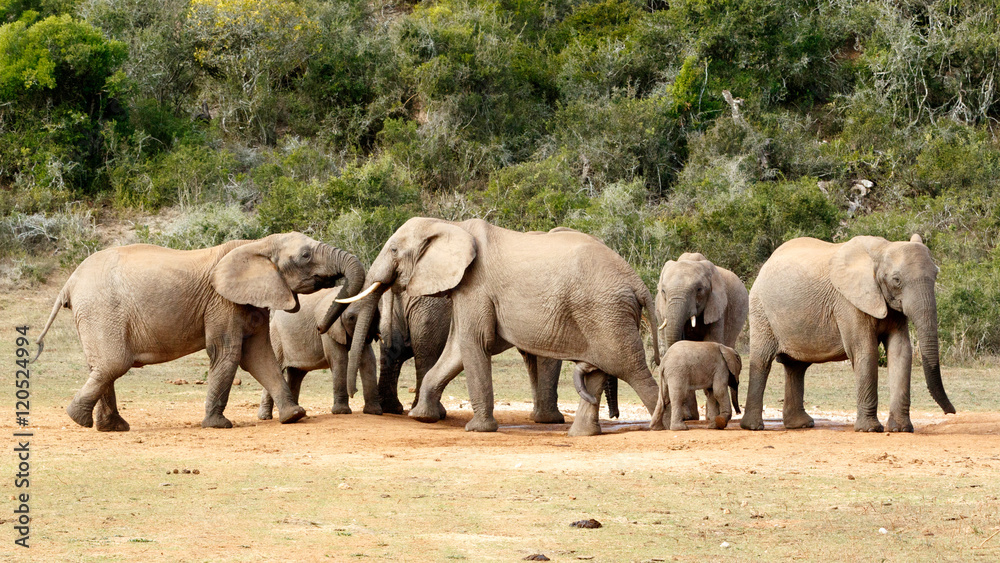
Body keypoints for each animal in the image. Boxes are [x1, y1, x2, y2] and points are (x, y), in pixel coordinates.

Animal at [34, 233, 365, 431]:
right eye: (306, 256)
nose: (320, 326)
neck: (258, 244)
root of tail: (69, 282)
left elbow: (260, 357)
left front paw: (295, 416)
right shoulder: (222, 302)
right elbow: (229, 354)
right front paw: (218, 425)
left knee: (102, 366)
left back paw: (112, 427)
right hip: (101, 309)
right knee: (114, 363)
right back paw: (79, 419)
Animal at [258, 288, 380, 420]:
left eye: (376, 317)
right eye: (351, 318)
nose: (355, 391)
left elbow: (368, 359)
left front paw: (374, 412)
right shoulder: (328, 326)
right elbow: (339, 359)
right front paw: (341, 412)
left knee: (296, 374)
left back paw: (299, 414)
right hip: (275, 337)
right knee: (275, 368)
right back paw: (266, 417)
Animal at [376, 291, 566, 423]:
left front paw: (539, 417)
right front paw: (553, 421)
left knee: (394, 352)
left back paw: (392, 409)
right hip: (431, 311)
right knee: (428, 353)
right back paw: (434, 414)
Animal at [655, 252, 748, 421]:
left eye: (699, 289)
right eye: (663, 291)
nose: (739, 412)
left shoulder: (717, 306)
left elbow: (712, 342)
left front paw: (712, 417)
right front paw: (688, 417)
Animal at [741, 234, 956, 432]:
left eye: (936, 275)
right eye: (897, 280)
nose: (951, 412)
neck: (881, 250)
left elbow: (901, 352)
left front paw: (900, 429)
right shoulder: (848, 302)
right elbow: (866, 351)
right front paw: (870, 429)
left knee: (796, 367)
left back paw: (800, 425)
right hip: (761, 309)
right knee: (762, 360)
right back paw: (753, 427)